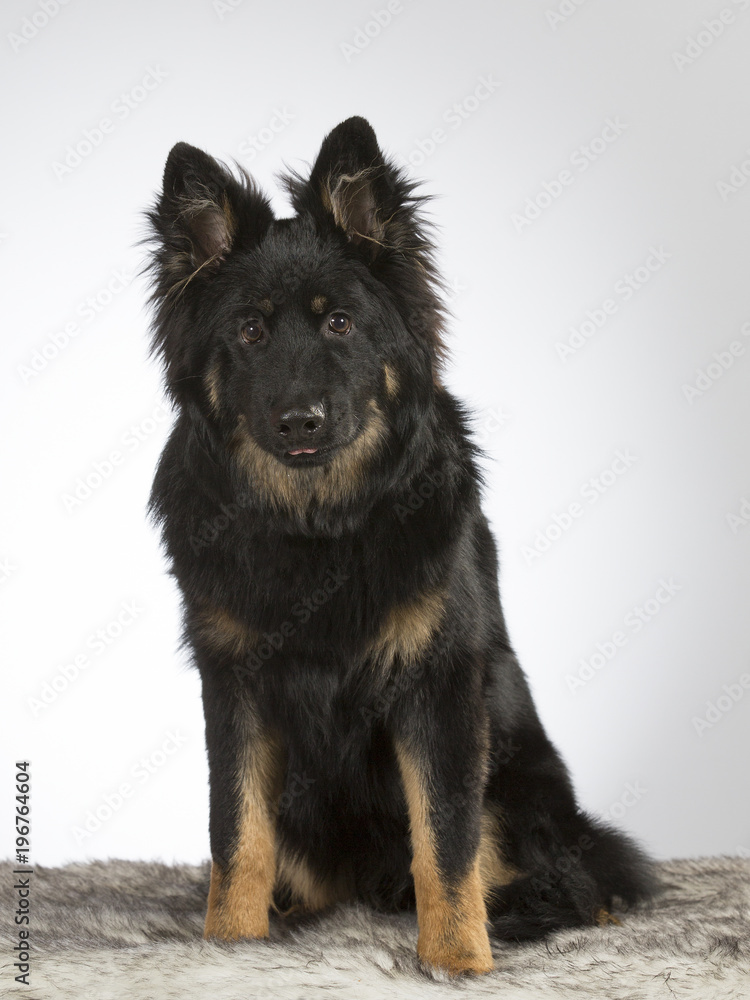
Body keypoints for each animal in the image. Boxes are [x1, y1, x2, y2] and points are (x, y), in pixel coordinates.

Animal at [145, 117, 652, 976]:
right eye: (250, 331)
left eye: (340, 323)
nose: (301, 421)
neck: (320, 526)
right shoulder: (235, 686)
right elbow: (236, 833)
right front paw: (231, 945)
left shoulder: (437, 686)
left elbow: (445, 840)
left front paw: (457, 960)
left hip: (521, 782)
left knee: (582, 879)